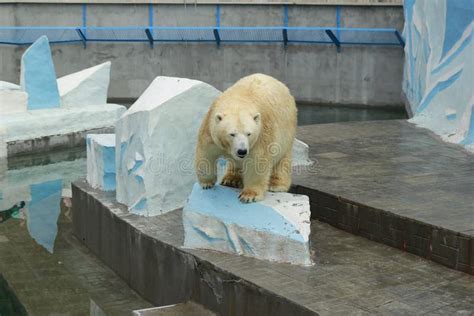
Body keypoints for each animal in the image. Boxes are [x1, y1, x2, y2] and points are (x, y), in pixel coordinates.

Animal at [193, 73, 296, 202]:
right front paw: (206, 183)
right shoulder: (210, 128)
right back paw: (231, 179)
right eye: (232, 134)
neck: (238, 101)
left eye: (249, 133)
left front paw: (249, 195)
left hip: (287, 130)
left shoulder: (261, 134)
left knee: (282, 158)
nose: (242, 151)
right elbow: (206, 154)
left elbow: (257, 162)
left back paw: (276, 184)